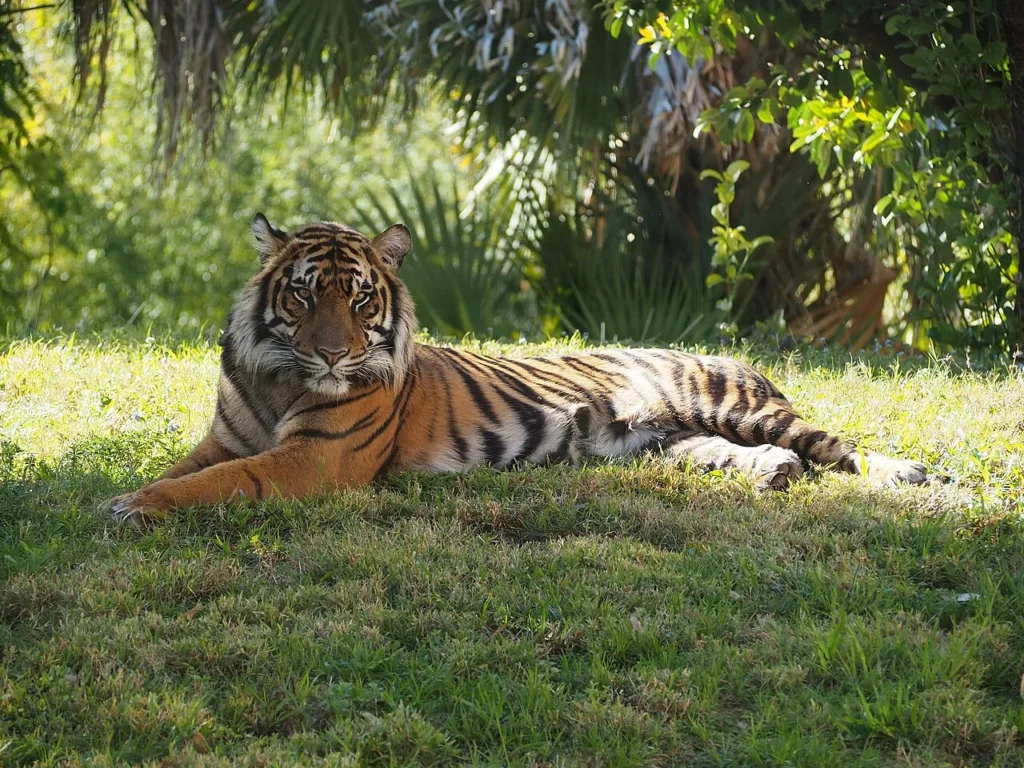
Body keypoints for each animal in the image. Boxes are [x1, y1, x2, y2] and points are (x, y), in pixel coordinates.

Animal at [104, 214, 927, 525]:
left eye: (360, 297)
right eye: (304, 294)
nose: (334, 352)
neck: (279, 376)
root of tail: (723, 350)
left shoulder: (314, 458)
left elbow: (220, 483)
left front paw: (132, 507)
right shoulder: (228, 436)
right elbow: (190, 468)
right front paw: (124, 494)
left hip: (737, 405)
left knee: (837, 446)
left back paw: (909, 474)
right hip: (666, 441)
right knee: (764, 456)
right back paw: (773, 476)